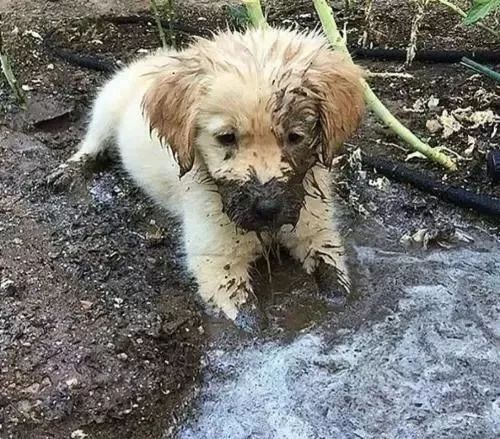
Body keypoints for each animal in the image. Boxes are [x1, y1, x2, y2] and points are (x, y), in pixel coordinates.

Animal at [64, 26, 366, 330]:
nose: (268, 209)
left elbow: (335, 277)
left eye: (295, 137)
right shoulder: (215, 261)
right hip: (107, 104)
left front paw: (340, 302)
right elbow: (249, 319)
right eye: (226, 138)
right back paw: (70, 170)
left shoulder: (316, 230)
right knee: (93, 141)